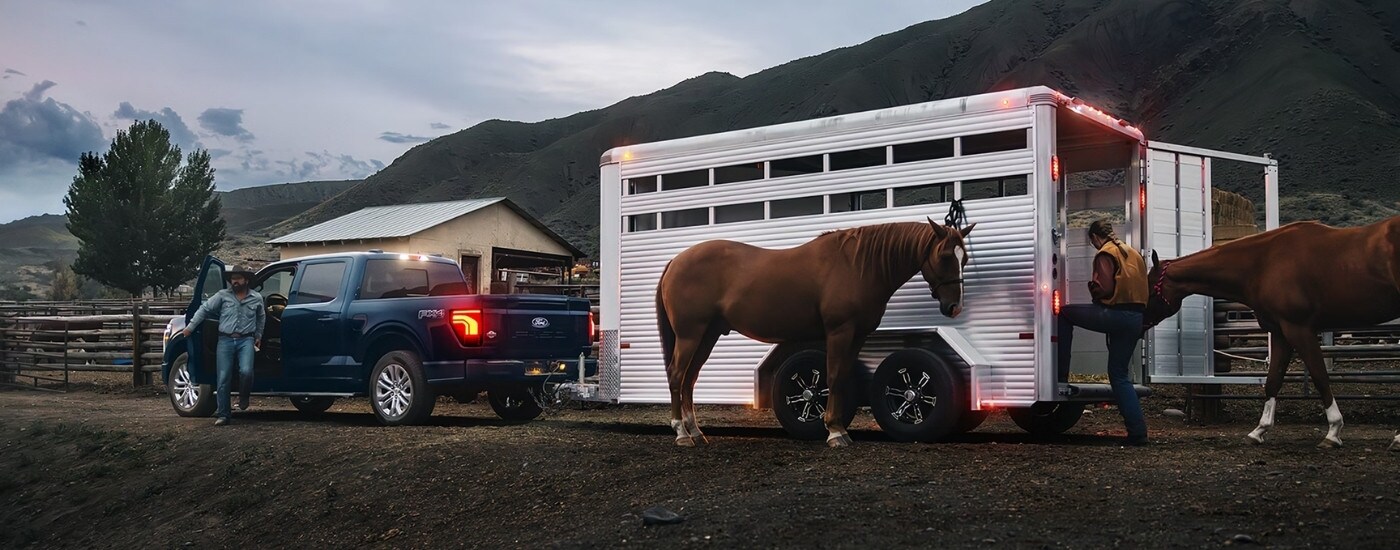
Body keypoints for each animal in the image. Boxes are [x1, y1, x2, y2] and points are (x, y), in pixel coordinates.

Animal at [655, 218, 975, 448]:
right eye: (945, 256)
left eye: (965, 259)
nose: (954, 306)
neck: (857, 265)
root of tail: (675, 262)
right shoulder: (839, 332)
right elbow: (833, 376)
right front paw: (834, 432)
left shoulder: (857, 335)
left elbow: (843, 377)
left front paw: (840, 429)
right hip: (690, 334)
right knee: (676, 375)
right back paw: (681, 434)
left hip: (706, 336)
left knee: (689, 379)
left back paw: (696, 432)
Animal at [1143, 216, 1400, 449]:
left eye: (1150, 289)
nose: (1141, 322)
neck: (1263, 264)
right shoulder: (1280, 333)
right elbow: (1273, 380)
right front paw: (1259, 431)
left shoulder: (1299, 329)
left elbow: (1320, 377)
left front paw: (1333, 432)